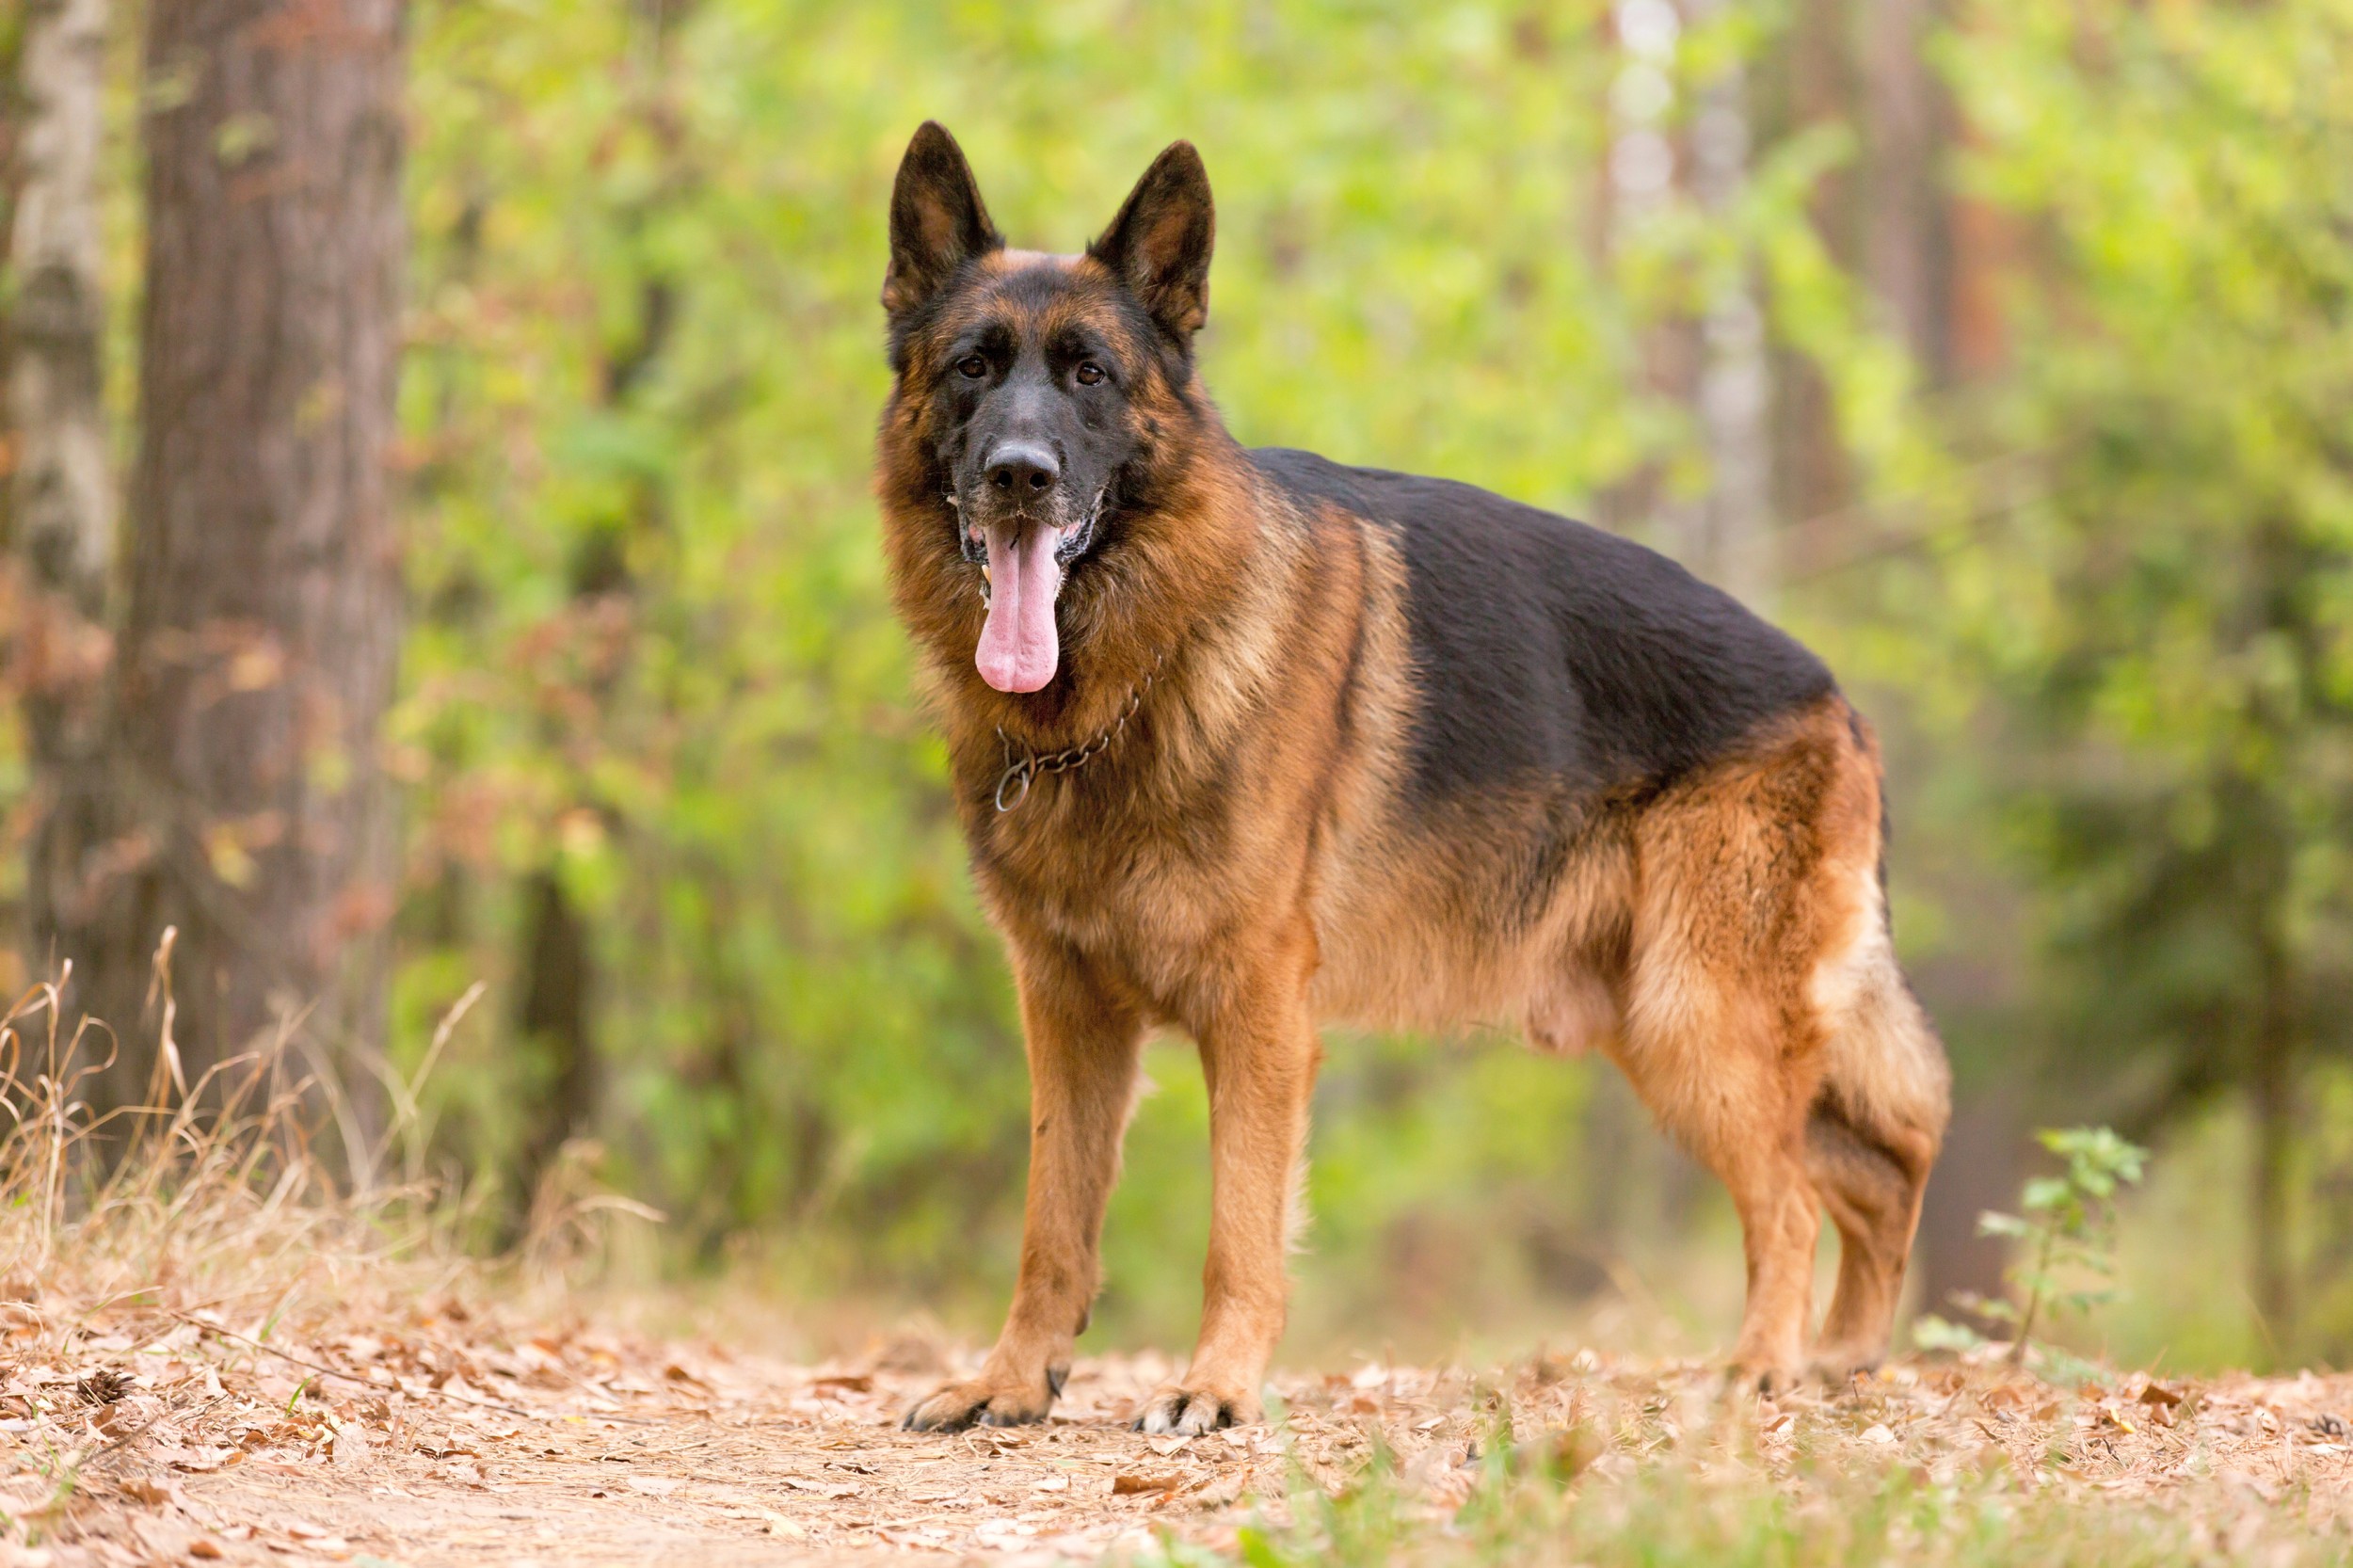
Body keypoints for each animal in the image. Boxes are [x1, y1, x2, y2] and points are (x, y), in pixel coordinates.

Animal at [880, 122, 1948, 1431]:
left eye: (1088, 374)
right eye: (973, 368)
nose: (1020, 474)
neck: (1128, 683)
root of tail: (1833, 694)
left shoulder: (1259, 1012)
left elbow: (1239, 1227)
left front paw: (1216, 1386)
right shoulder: (1068, 1012)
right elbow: (1052, 1225)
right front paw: (1010, 1381)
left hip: (1696, 1021)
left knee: (1798, 1194)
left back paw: (1762, 1365)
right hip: (1664, 1028)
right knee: (1873, 1167)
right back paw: (1841, 1356)